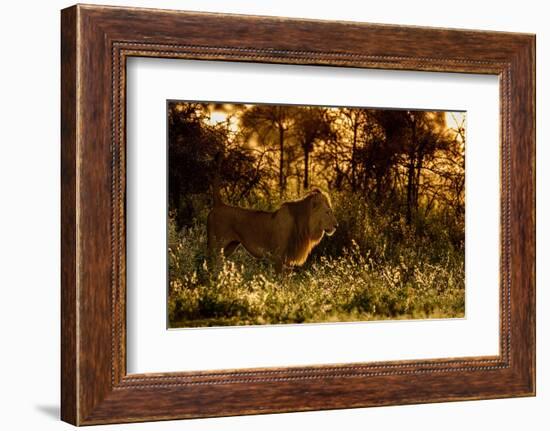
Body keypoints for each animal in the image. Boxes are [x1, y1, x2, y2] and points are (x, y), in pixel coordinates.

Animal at [206, 185, 336, 274]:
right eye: (328, 212)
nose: (337, 225)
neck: (303, 226)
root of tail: (219, 205)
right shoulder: (278, 256)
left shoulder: (288, 260)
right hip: (215, 246)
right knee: (210, 264)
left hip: (228, 248)